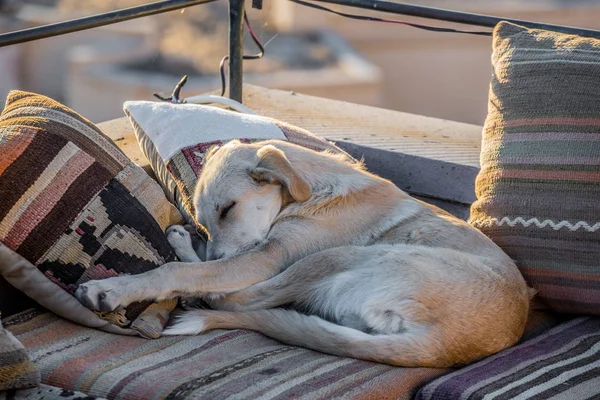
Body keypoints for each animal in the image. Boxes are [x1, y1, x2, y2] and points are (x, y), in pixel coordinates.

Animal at [77, 139, 532, 368]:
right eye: (207, 220)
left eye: (228, 209)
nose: (204, 240)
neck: (311, 189)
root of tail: (441, 347)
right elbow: (211, 268)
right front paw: (193, 244)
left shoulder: (267, 256)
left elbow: (185, 274)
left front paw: (114, 290)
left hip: (338, 257)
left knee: (238, 299)